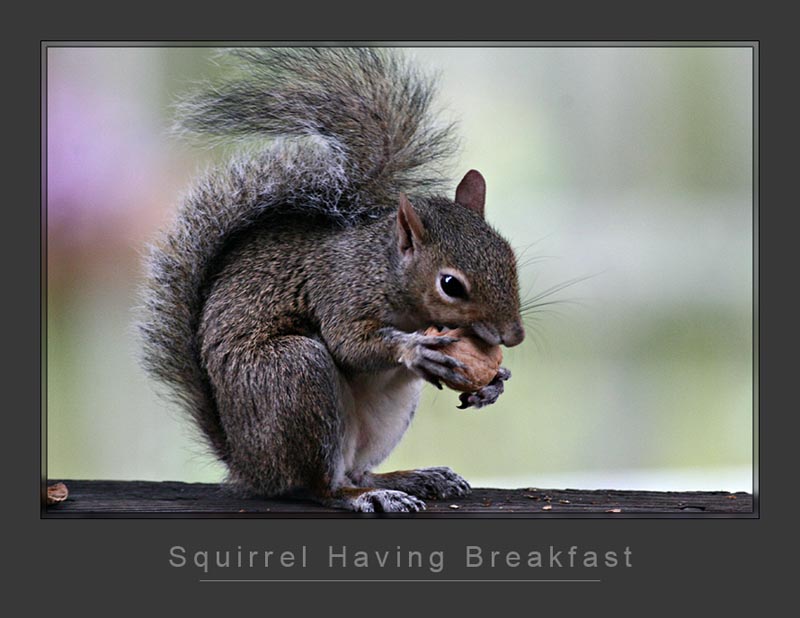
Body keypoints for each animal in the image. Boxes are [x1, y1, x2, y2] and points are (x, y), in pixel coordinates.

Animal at [138, 47, 524, 510]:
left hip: (383, 416)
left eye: (510, 257)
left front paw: (493, 385)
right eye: (451, 285)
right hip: (295, 376)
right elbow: (350, 344)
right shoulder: (339, 291)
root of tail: (249, 464)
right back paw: (367, 497)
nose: (514, 336)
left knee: (358, 470)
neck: (383, 272)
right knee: (321, 485)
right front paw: (415, 350)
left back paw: (412, 478)